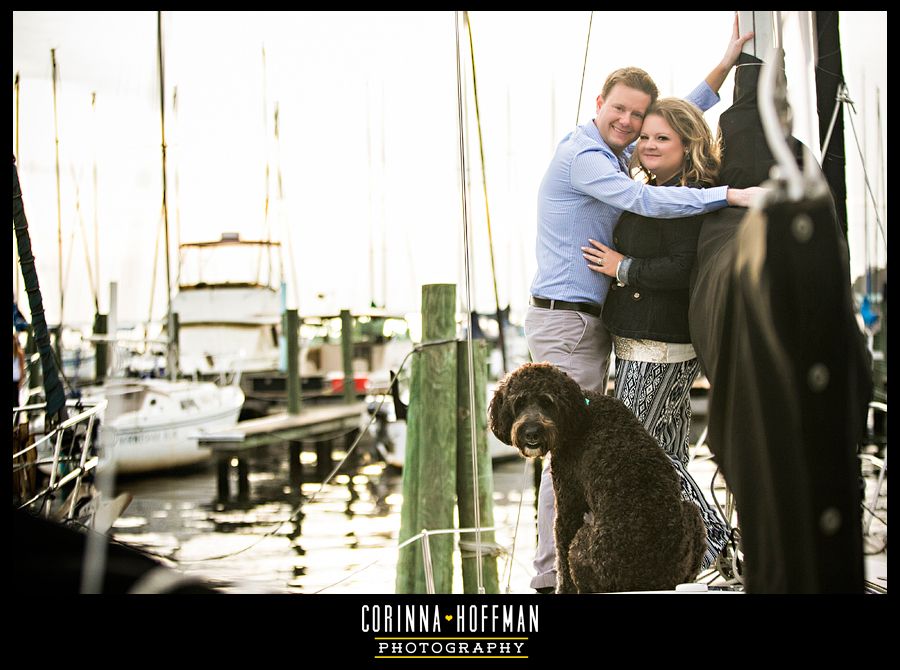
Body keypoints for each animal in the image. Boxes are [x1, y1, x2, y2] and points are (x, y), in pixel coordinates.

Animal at [488, 362, 708, 592]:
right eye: (519, 403)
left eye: (547, 402)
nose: (531, 432)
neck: (579, 415)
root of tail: (649, 580)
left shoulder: (568, 504)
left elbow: (561, 556)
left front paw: (563, 588)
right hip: (693, 515)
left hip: (581, 545)